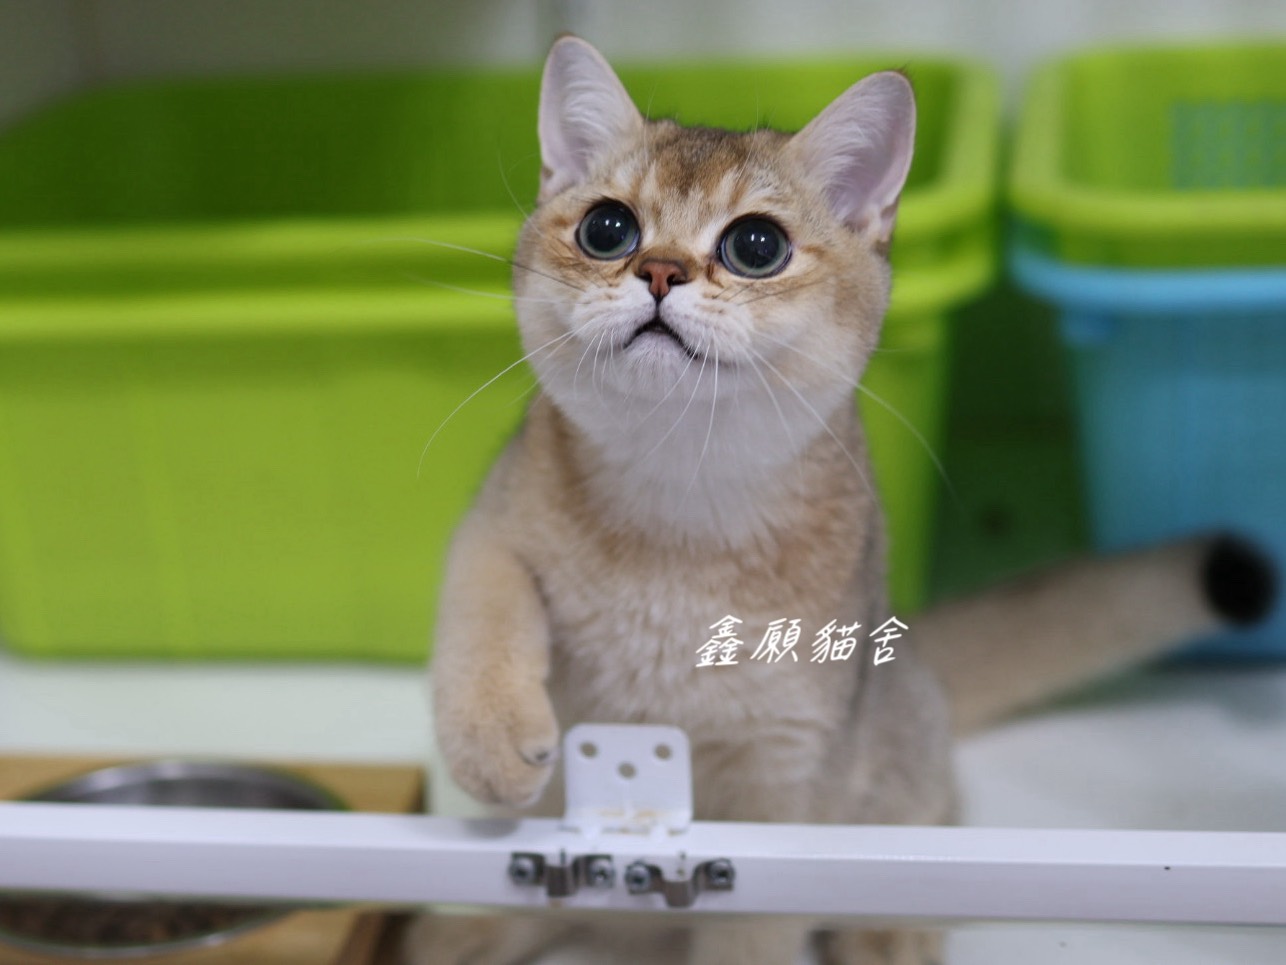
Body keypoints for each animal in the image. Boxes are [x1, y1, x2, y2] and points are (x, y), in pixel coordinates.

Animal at [400, 35, 1277, 965]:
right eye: (608, 229)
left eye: (756, 245)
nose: (659, 270)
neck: (679, 504)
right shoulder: (493, 520)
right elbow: (483, 607)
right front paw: (490, 738)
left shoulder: (788, 767)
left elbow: (754, 921)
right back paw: (462, 928)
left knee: (932, 817)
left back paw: (886, 929)